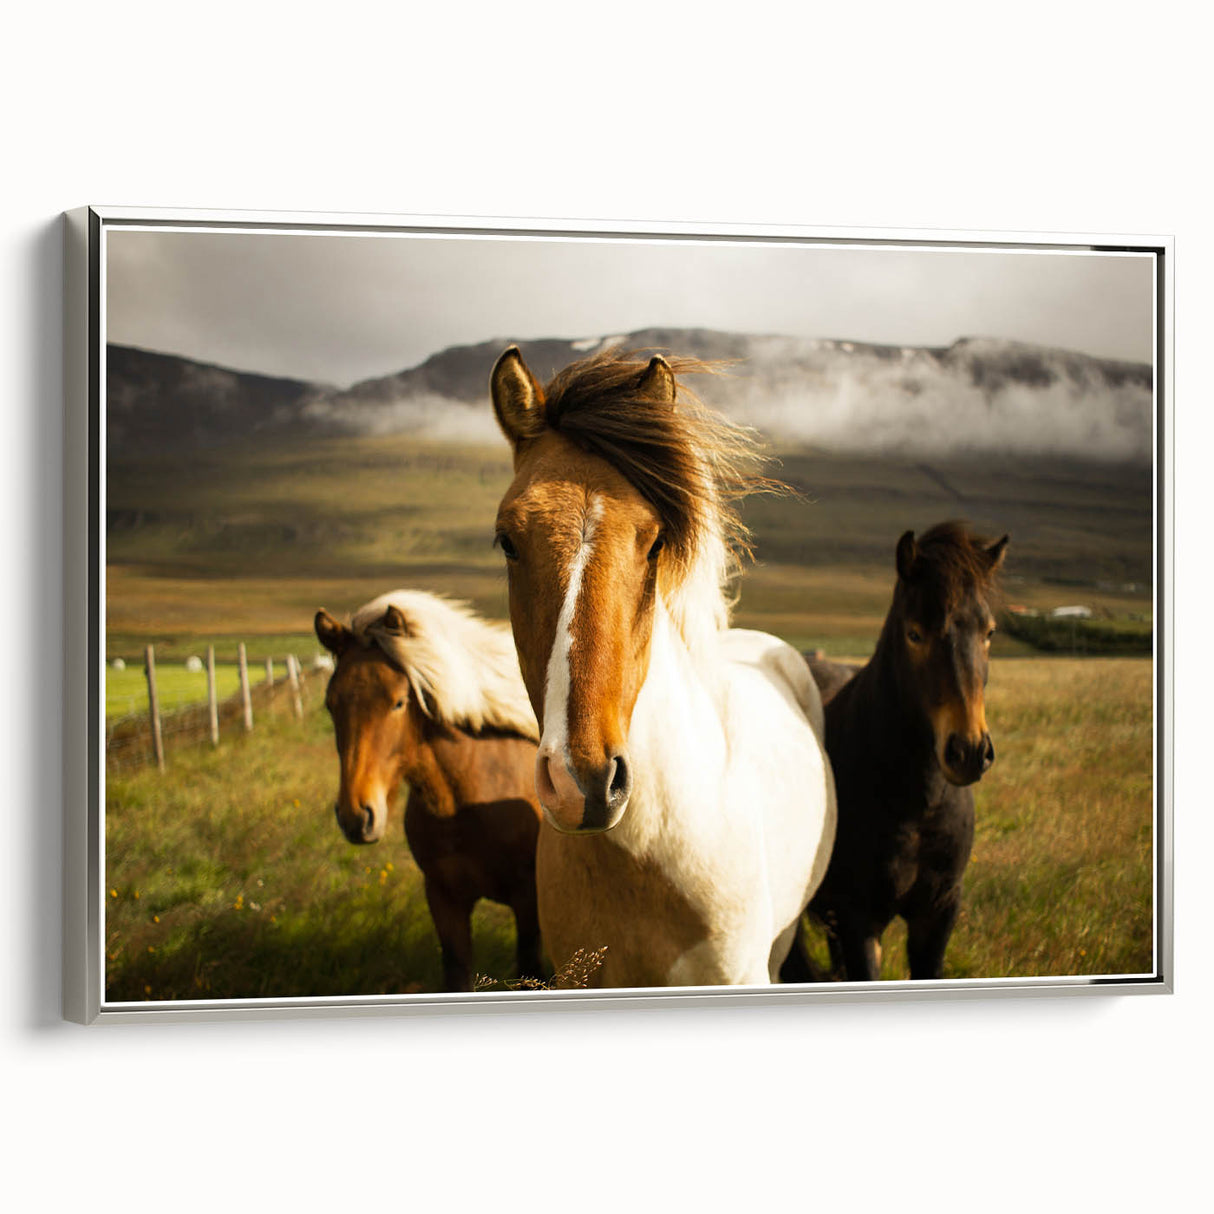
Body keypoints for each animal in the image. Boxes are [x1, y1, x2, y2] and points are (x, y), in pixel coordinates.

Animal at [314, 591, 544, 993]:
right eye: (331, 704)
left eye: (398, 701)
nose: (356, 817)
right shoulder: (443, 899)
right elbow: (456, 972)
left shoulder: (528, 903)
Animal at [782, 522, 1008, 983]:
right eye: (915, 633)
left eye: (989, 632)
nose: (969, 751)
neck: (917, 805)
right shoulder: (859, 919)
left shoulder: (937, 914)